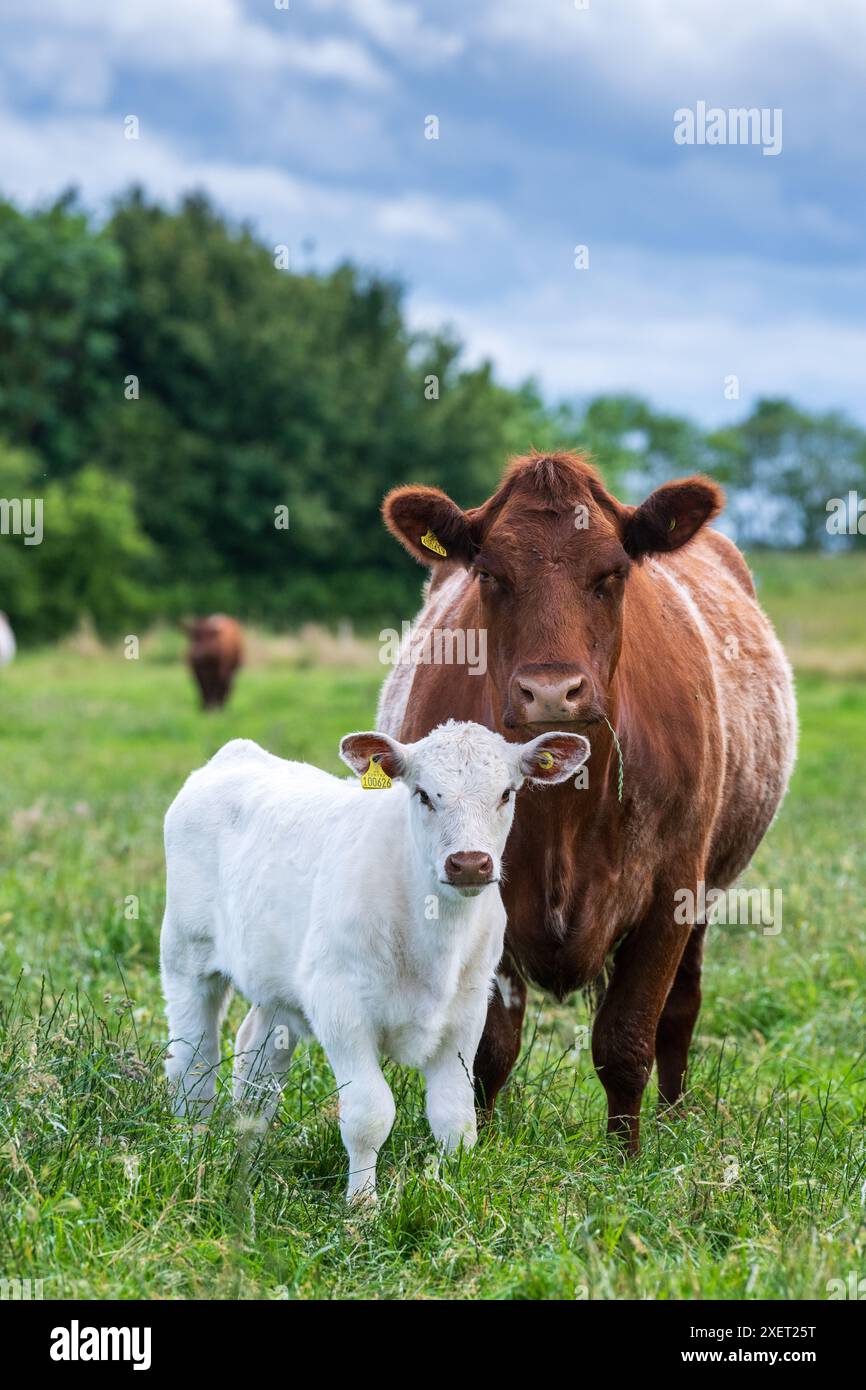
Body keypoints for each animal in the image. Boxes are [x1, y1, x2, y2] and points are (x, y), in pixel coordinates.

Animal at [160, 723, 589, 1200]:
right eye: (423, 794)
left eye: (506, 793)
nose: (468, 864)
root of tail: (237, 754)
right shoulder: (339, 1004)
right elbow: (369, 1116)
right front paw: (362, 1204)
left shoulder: (467, 1011)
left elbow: (454, 1118)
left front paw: (449, 1192)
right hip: (186, 955)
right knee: (192, 1062)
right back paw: (192, 1150)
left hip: (278, 985)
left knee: (256, 1061)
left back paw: (248, 1151)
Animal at [378, 451, 797, 1153]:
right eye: (490, 573)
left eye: (613, 572)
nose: (551, 691)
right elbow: (488, 1046)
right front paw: (480, 1146)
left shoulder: (671, 890)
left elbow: (626, 1039)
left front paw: (625, 1158)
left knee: (681, 1011)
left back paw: (674, 1118)